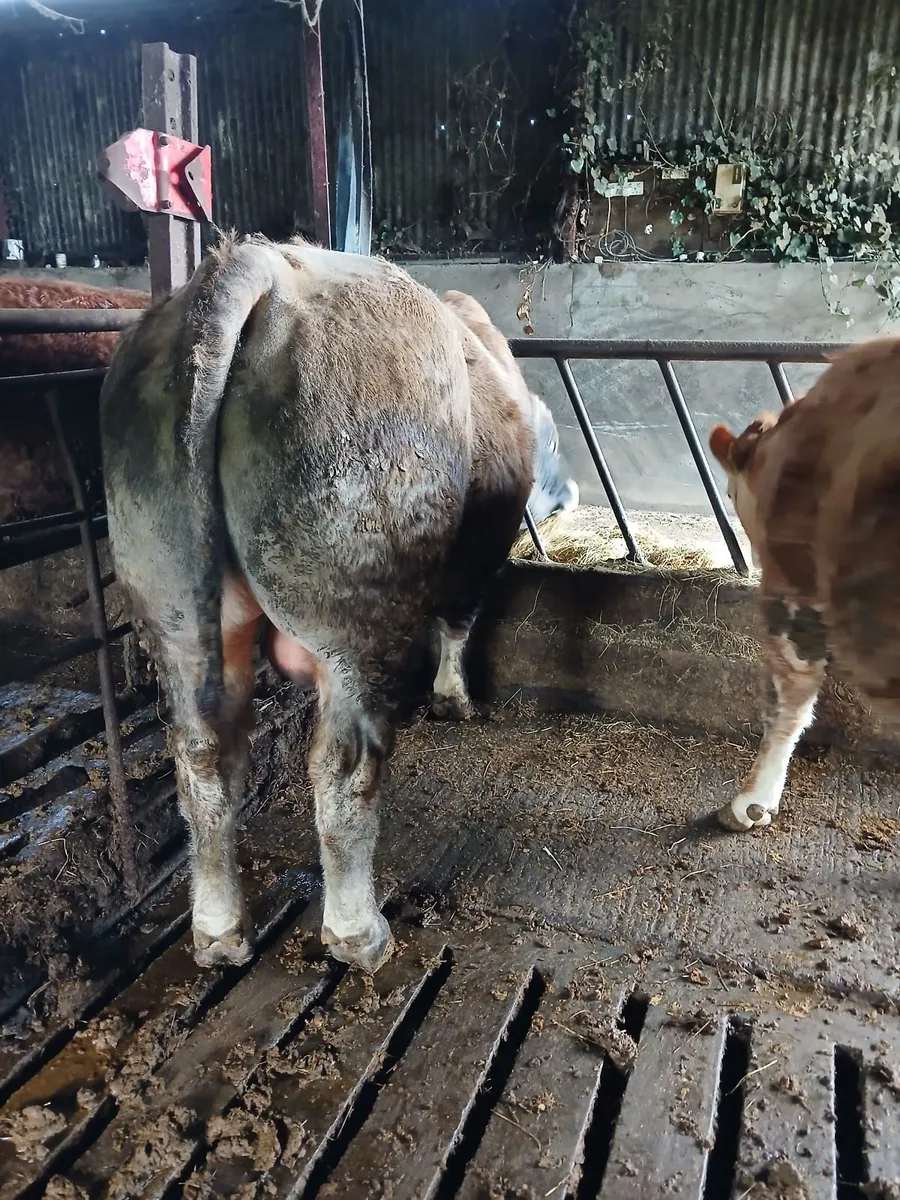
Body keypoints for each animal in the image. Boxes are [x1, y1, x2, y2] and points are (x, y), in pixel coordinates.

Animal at [100, 234, 577, 973]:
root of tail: (259, 264)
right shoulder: (475, 563)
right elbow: (458, 625)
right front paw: (454, 699)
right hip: (356, 610)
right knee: (343, 766)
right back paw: (359, 934)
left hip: (171, 601)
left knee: (203, 756)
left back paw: (219, 930)